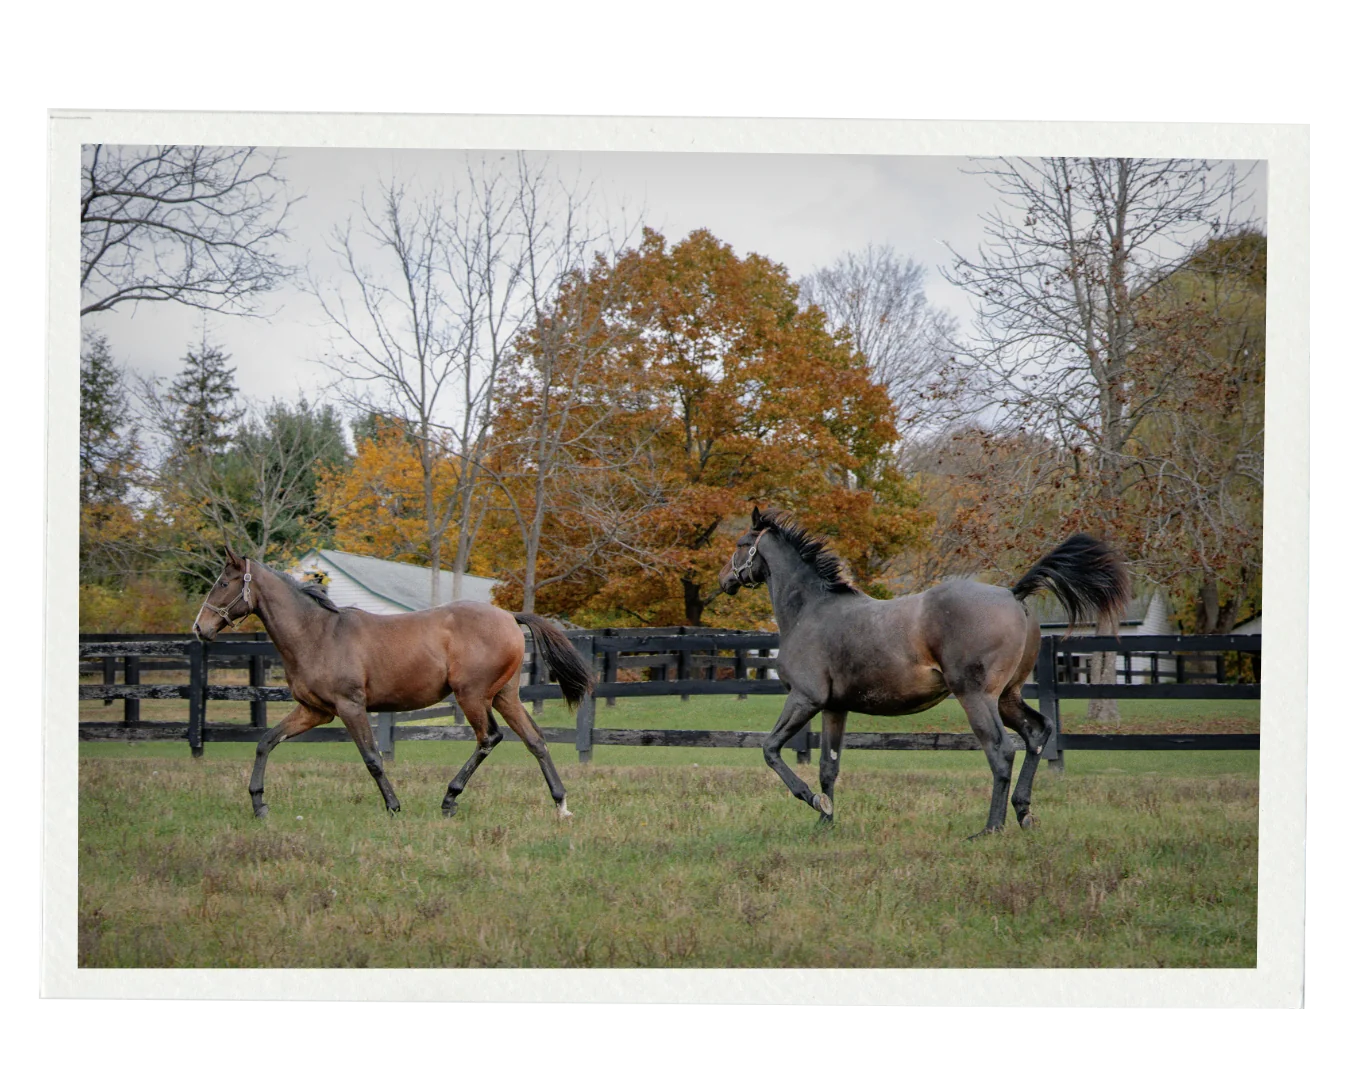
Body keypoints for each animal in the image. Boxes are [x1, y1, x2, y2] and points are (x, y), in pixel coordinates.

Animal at [192, 546, 594, 821]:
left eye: (224, 583)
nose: (200, 628)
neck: (317, 634)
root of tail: (509, 617)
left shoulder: (350, 706)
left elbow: (372, 758)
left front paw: (393, 806)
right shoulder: (314, 712)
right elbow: (265, 742)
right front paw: (259, 803)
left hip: (472, 696)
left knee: (489, 738)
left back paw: (450, 799)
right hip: (504, 697)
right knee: (535, 741)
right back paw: (561, 804)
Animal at [717, 508, 1130, 838]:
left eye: (740, 543)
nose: (724, 580)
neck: (810, 610)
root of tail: (1014, 594)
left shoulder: (805, 699)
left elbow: (770, 749)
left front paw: (812, 801)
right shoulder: (835, 707)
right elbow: (828, 767)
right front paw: (825, 820)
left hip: (976, 696)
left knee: (1001, 751)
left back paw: (990, 828)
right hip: (1008, 696)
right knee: (1037, 733)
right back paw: (1024, 813)